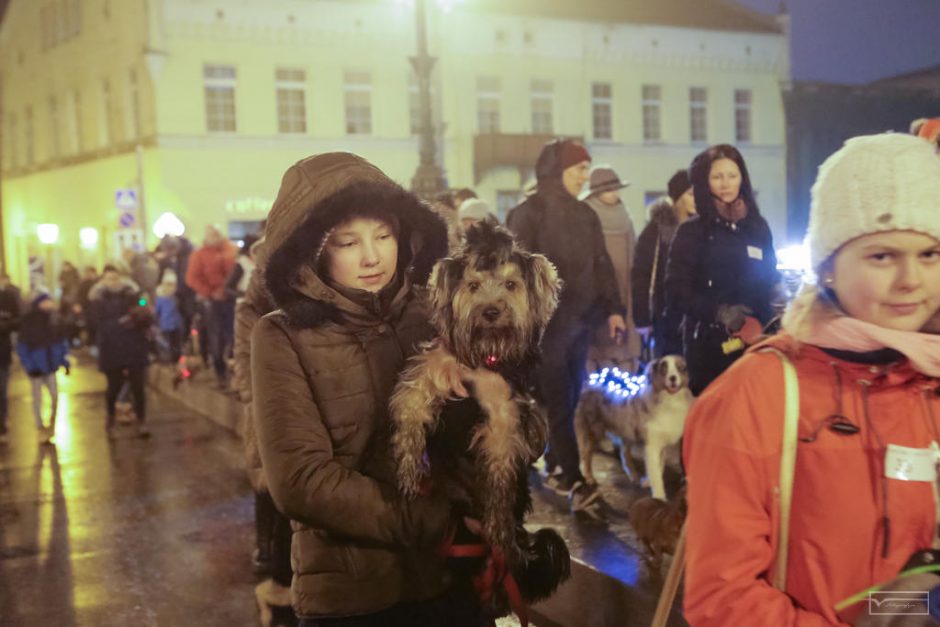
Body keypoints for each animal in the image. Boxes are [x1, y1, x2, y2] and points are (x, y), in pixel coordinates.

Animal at [392, 221, 568, 620]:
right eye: (473, 286)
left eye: (510, 284)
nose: (490, 310)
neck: (486, 355)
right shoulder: (437, 368)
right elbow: (411, 404)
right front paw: (409, 465)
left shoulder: (505, 415)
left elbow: (501, 474)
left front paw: (500, 524)